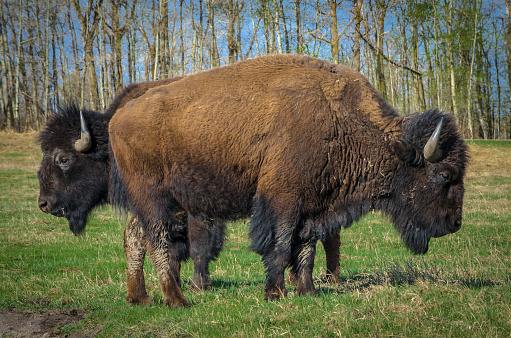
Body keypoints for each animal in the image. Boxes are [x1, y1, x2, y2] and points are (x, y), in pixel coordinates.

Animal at [108, 54, 468, 308]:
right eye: (444, 175)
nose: (455, 223)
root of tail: (119, 115)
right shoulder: (283, 200)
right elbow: (281, 247)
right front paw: (275, 293)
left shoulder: (313, 206)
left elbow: (306, 250)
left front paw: (307, 292)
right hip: (155, 197)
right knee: (156, 240)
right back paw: (176, 299)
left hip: (152, 201)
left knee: (134, 236)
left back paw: (140, 297)